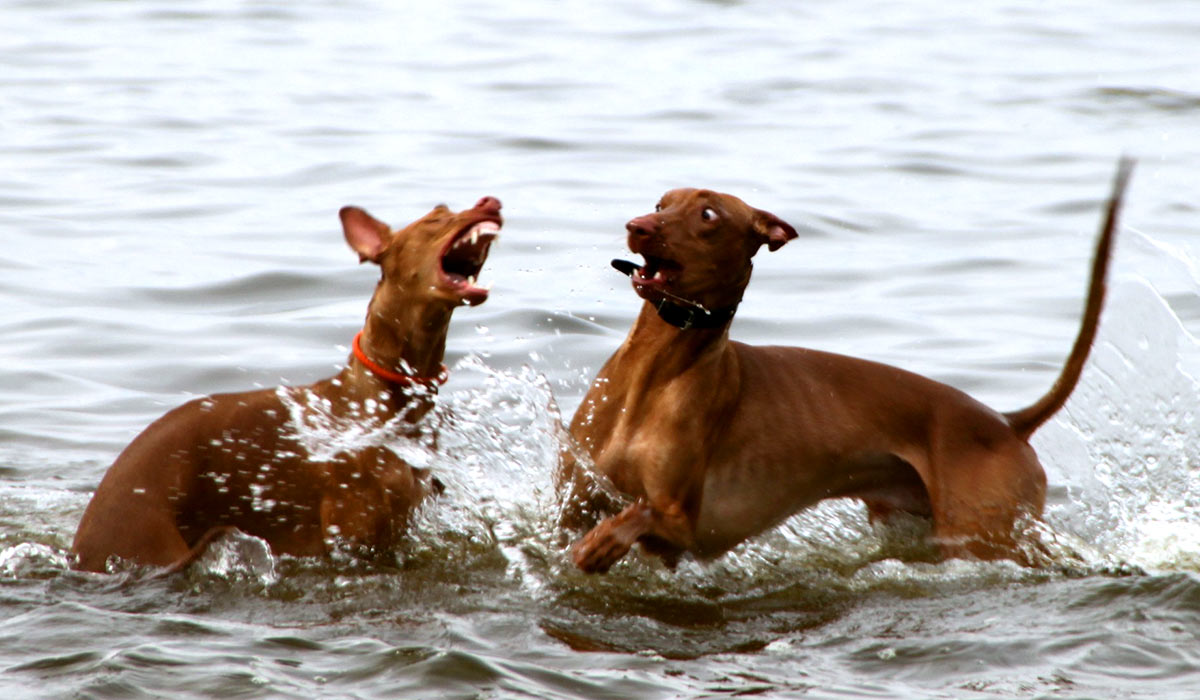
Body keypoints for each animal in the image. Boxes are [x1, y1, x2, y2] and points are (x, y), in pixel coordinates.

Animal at [561, 164, 1132, 576]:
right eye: (662, 204)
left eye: (707, 214)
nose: (638, 226)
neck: (654, 374)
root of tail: (1006, 422)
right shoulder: (575, 494)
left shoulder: (688, 527)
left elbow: (638, 514)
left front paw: (601, 546)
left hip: (985, 535)